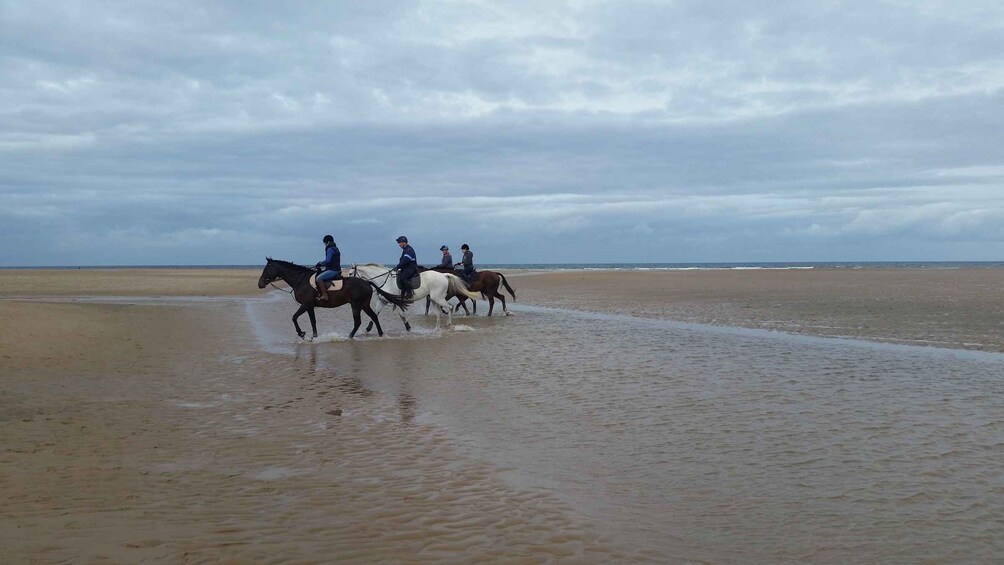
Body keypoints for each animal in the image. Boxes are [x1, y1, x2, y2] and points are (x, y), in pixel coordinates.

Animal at [349, 264, 481, 331]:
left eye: (350, 273)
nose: (350, 283)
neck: (384, 281)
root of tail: (443, 275)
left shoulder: (397, 302)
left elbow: (402, 315)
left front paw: (408, 327)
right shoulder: (383, 301)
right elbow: (375, 314)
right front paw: (368, 328)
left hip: (438, 298)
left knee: (450, 307)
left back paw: (449, 324)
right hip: (434, 299)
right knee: (439, 312)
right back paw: (436, 329)